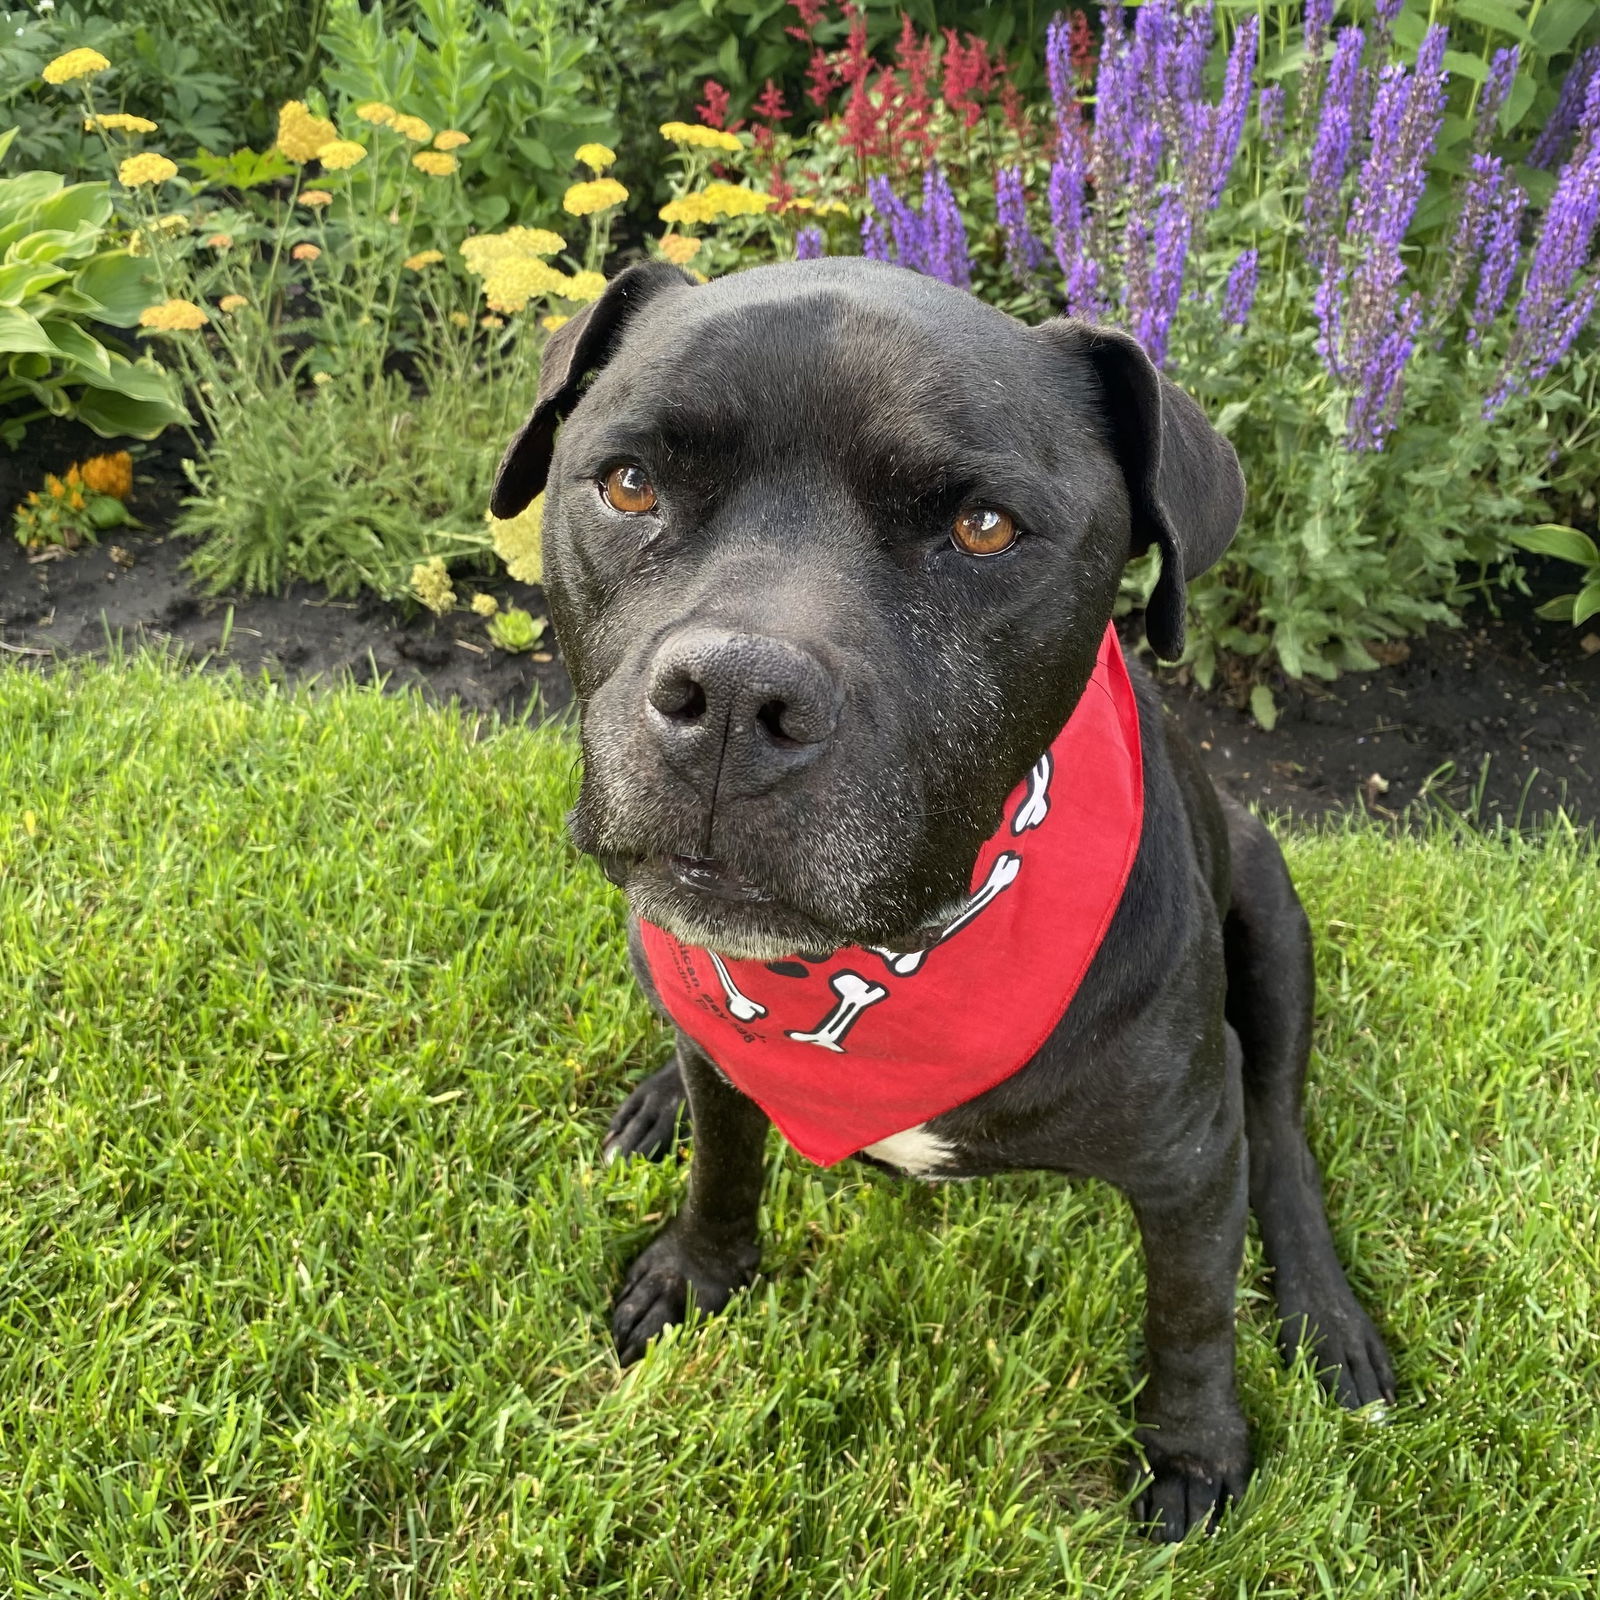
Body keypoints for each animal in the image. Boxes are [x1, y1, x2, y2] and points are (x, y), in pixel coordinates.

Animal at [492, 259, 1395, 1536]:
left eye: (982, 528)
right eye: (628, 483)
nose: (733, 698)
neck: (889, 958)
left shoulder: (1185, 1154)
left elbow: (1189, 1311)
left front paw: (1194, 1446)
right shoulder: (729, 1063)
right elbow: (724, 1165)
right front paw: (696, 1272)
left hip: (1272, 919)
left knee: (1280, 1133)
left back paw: (1325, 1314)